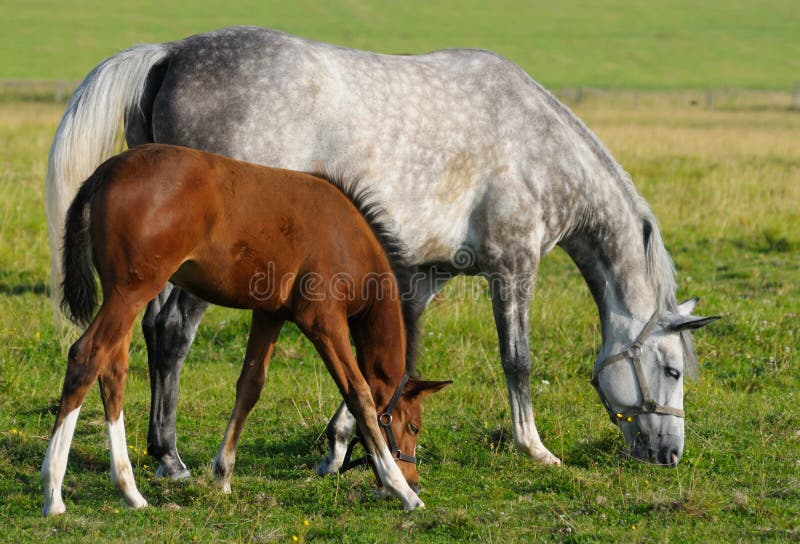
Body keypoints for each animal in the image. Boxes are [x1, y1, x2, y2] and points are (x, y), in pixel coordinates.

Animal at [42, 143, 450, 516]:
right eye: (414, 426)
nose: (414, 478)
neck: (346, 238)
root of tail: (108, 169)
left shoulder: (270, 313)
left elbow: (250, 386)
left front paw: (222, 475)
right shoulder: (322, 321)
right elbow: (359, 393)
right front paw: (403, 492)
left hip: (125, 295)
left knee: (113, 371)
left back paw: (130, 491)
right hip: (130, 292)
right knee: (86, 356)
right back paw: (54, 493)